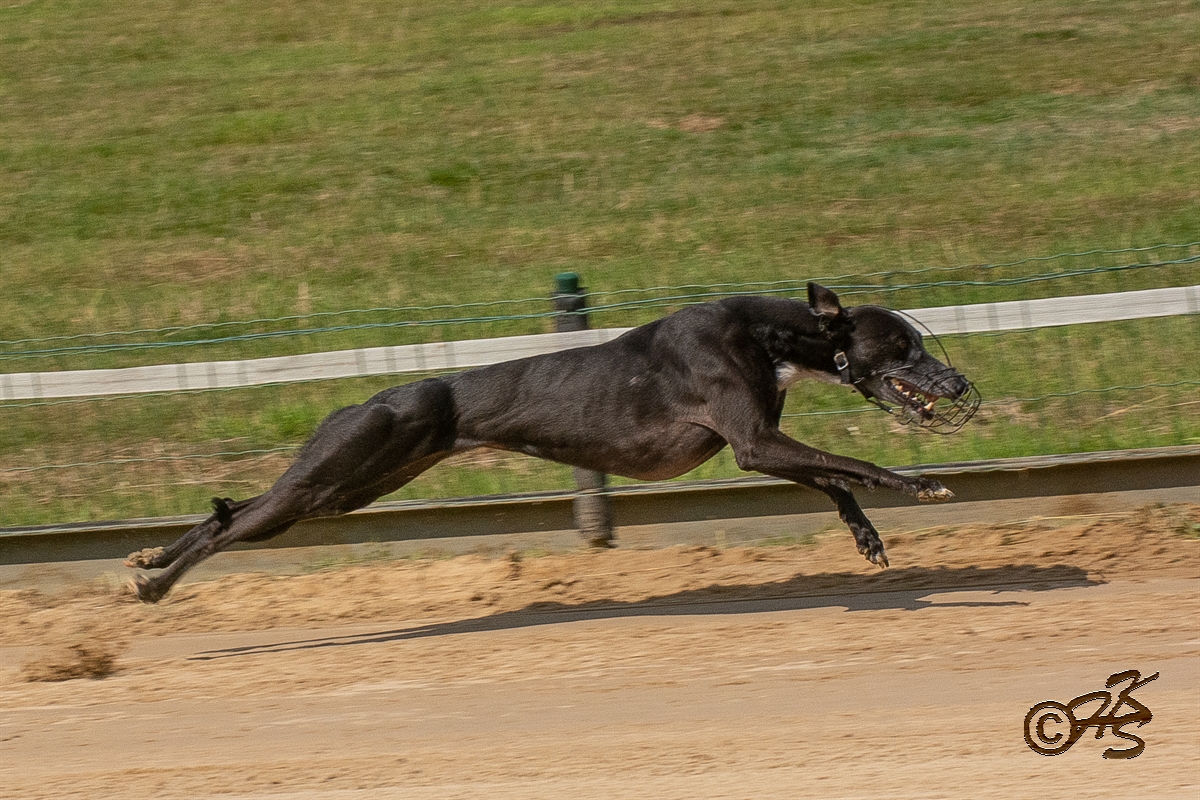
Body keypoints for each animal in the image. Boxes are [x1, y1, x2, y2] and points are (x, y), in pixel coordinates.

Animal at [126, 283, 979, 602]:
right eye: (902, 347)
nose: (959, 383)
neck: (769, 335)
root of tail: (366, 399)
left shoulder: (757, 441)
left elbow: (833, 481)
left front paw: (868, 541)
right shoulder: (752, 440)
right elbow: (856, 465)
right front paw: (924, 487)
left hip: (348, 484)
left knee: (234, 510)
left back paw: (147, 559)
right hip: (336, 472)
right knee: (235, 522)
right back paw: (156, 582)